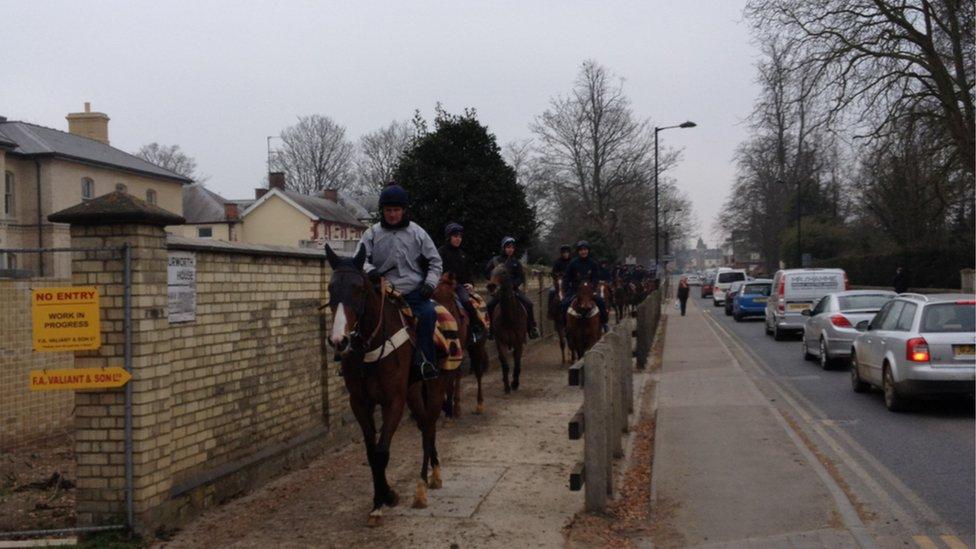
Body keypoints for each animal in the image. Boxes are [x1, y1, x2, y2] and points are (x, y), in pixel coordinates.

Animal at [326, 246, 448, 524]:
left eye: (359, 288)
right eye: (330, 288)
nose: (339, 340)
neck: (370, 347)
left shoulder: (394, 400)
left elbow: (382, 452)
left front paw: (389, 497)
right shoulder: (361, 403)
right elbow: (372, 453)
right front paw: (378, 501)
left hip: (434, 387)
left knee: (429, 425)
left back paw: (424, 484)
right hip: (413, 392)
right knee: (425, 424)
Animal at [492, 264, 528, 392]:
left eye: (504, 272)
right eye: (491, 272)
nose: (491, 286)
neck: (509, 319)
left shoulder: (519, 341)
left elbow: (517, 362)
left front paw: (515, 383)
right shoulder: (500, 341)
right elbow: (505, 364)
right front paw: (507, 385)